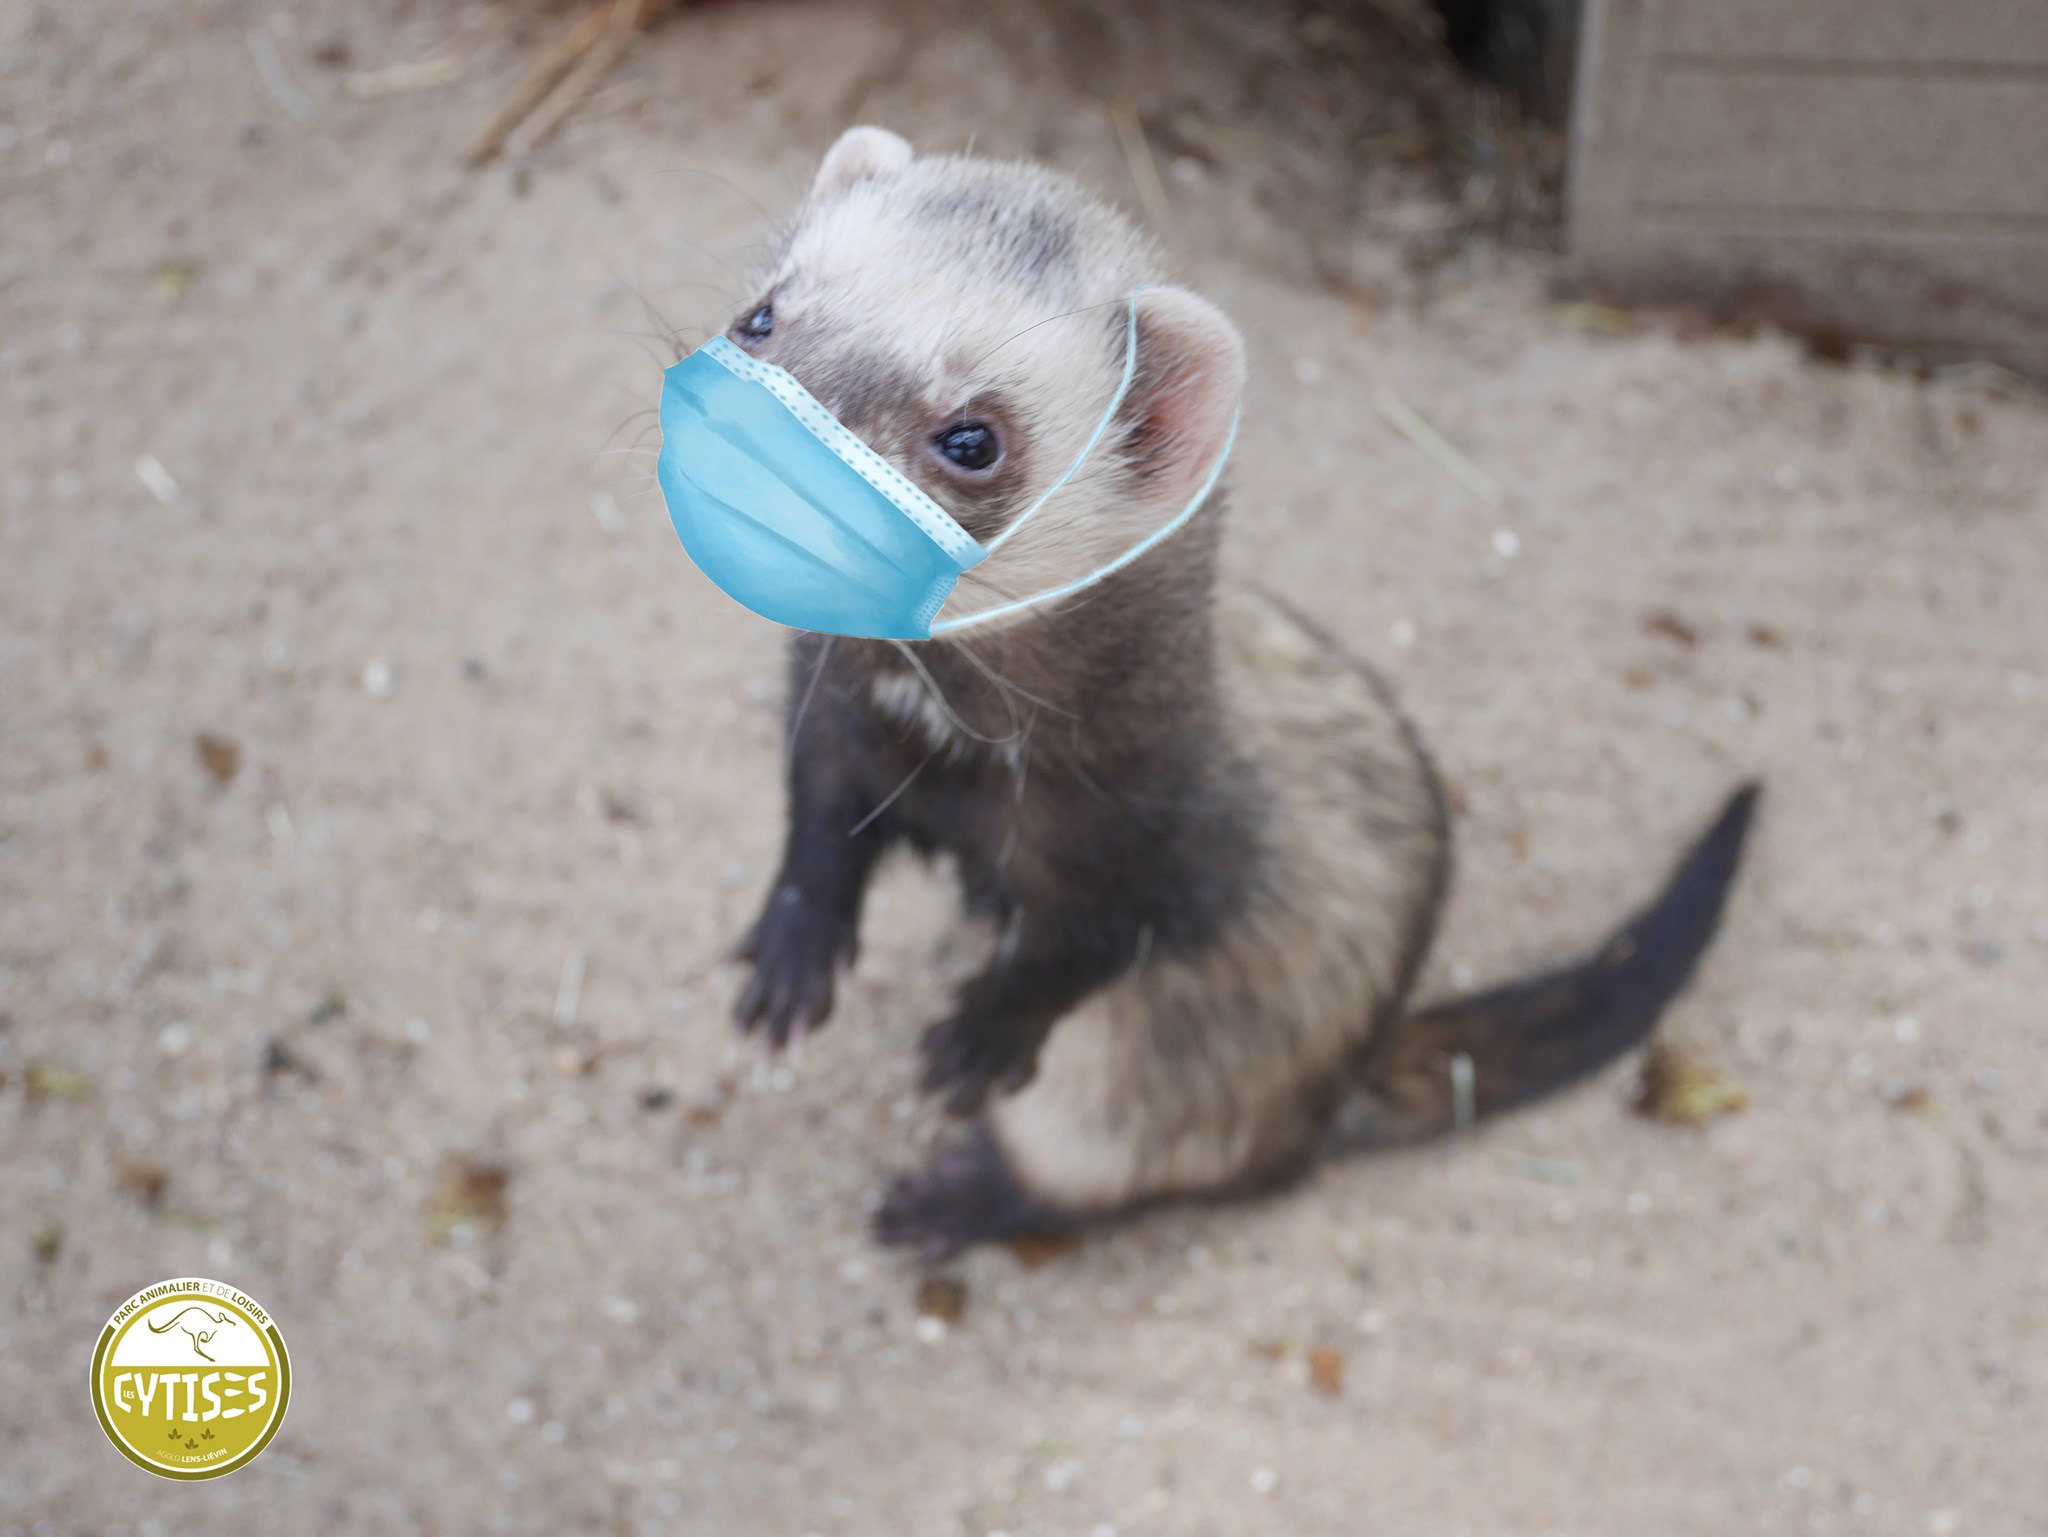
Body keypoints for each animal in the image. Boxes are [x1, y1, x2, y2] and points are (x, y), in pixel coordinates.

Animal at [713, 127, 1757, 1260]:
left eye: (973, 437)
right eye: (761, 312)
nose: (756, 451)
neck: (946, 747)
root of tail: (1334, 1087)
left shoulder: (1165, 835)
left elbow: (1091, 943)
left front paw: (984, 1029)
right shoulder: (832, 723)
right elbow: (818, 824)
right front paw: (792, 950)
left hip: (1116, 1115)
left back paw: (948, 1199)